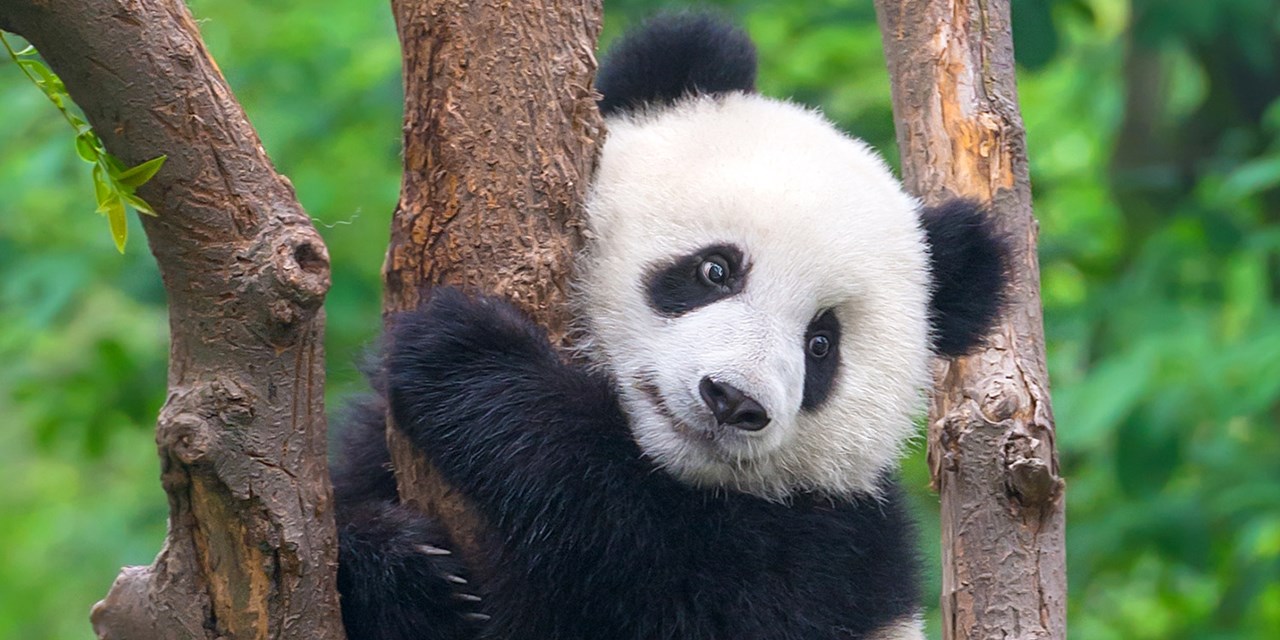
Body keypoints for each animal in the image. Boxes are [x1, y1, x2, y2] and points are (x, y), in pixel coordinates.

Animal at [331, 12, 1008, 640]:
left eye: (821, 343)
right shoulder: (372, 450)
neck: (672, 464)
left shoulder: (834, 552)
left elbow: (649, 549)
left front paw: (468, 357)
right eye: (715, 269)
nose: (732, 399)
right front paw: (405, 573)